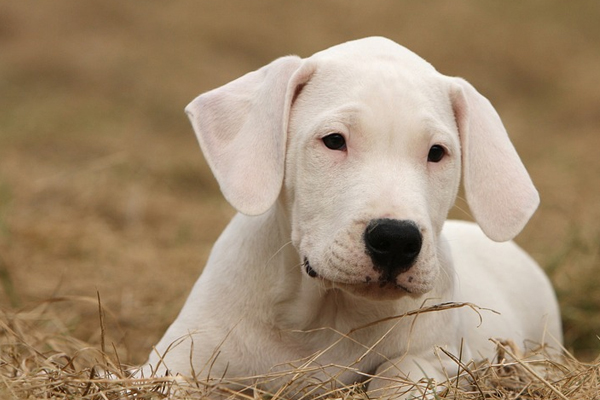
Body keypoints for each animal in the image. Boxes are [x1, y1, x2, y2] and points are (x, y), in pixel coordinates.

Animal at [145, 36, 564, 396]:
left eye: (437, 152)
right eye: (334, 140)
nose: (396, 240)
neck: (326, 317)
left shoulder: (436, 358)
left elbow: (399, 373)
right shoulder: (174, 360)